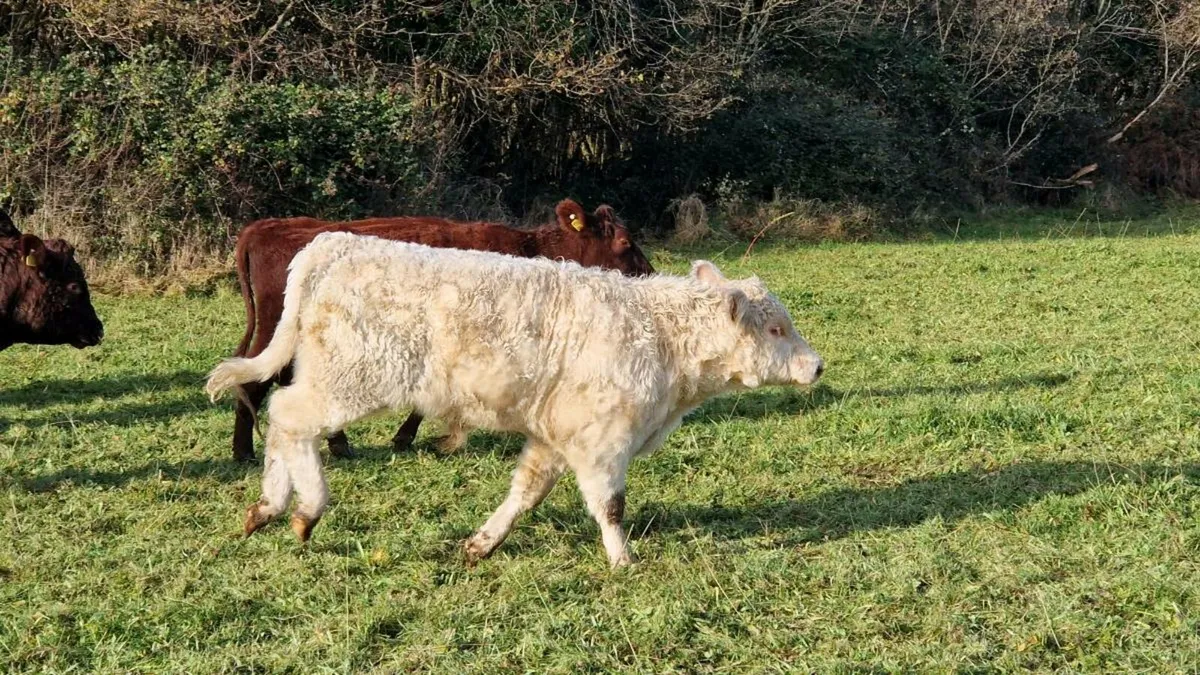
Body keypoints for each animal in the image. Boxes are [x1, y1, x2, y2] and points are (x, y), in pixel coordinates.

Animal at [206, 233, 823, 567]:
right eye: (775, 330)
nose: (816, 364)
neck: (661, 336)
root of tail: (337, 242)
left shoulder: (555, 437)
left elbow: (524, 492)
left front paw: (482, 544)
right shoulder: (602, 440)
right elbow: (611, 506)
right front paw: (622, 559)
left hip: (328, 375)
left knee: (284, 421)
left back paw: (268, 506)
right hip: (353, 378)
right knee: (291, 418)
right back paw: (304, 508)